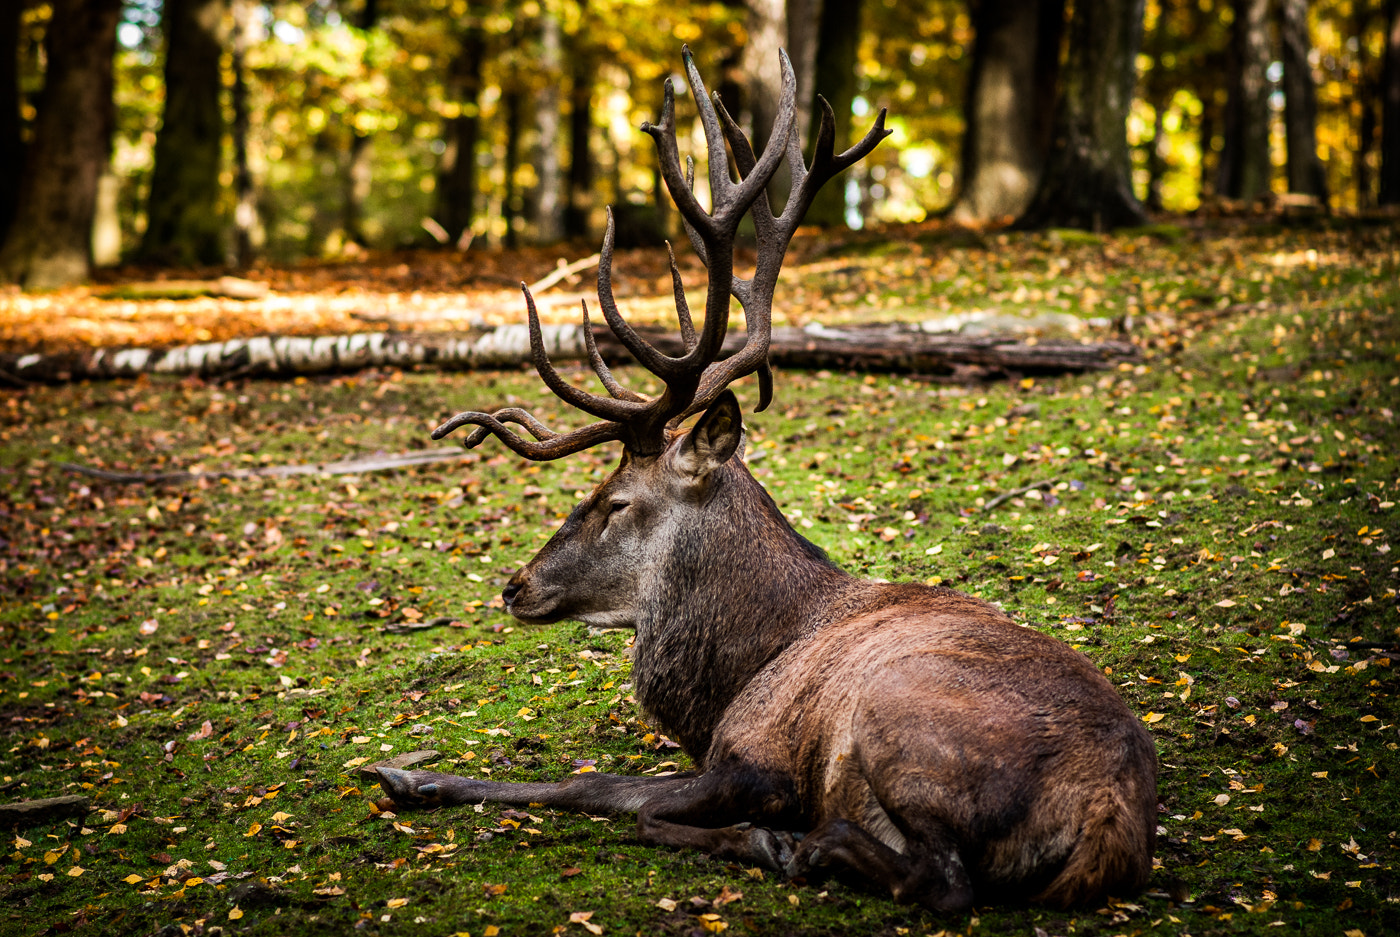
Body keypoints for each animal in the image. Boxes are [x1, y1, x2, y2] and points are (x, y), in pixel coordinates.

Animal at [375, 47, 1159, 907]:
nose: (514, 584)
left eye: (614, 500)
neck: (736, 670)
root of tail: (1109, 815)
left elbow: (612, 795)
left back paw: (809, 846)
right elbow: (593, 784)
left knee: (941, 878)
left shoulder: (756, 757)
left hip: (902, 726)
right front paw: (408, 775)